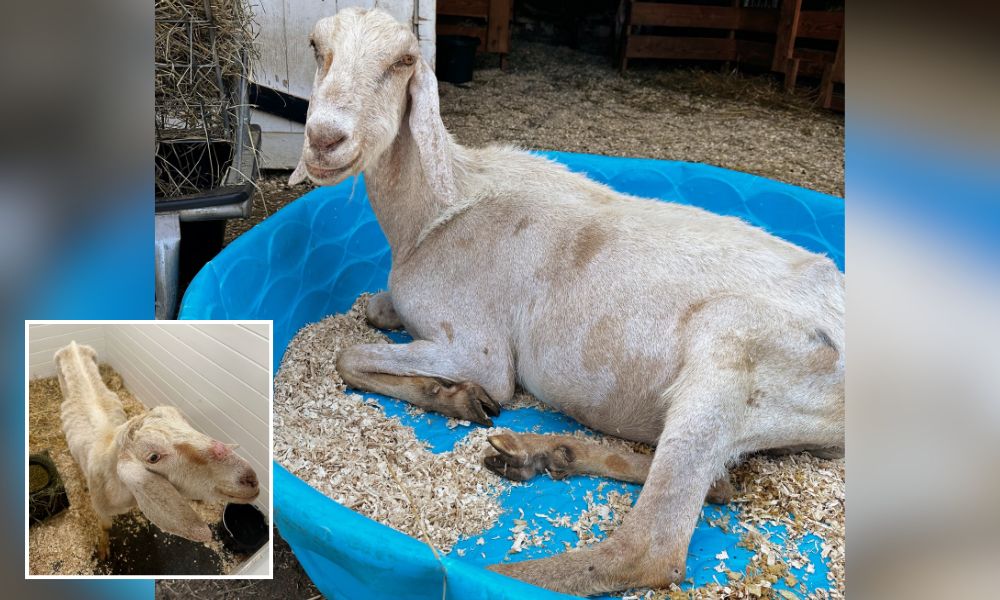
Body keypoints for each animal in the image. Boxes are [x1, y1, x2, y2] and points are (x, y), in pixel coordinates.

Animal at [55, 341, 260, 559]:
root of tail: (73, 345)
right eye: (153, 457)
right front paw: (103, 550)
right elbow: (105, 527)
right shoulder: (100, 508)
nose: (249, 478)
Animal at [290, 8, 844, 595]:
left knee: (652, 547)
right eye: (316, 47)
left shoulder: (478, 349)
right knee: (716, 482)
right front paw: (451, 392)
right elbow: (372, 313)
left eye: (403, 60)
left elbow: (352, 356)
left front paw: (458, 396)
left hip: (732, 348)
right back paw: (543, 453)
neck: (435, 213)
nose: (325, 139)